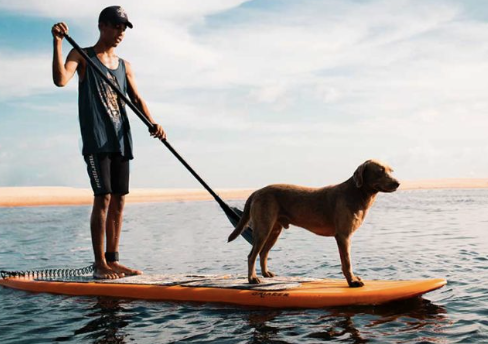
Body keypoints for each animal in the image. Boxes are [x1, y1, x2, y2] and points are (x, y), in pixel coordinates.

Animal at [229, 160, 400, 286]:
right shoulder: (343, 236)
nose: (398, 183)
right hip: (263, 228)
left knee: (263, 253)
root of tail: (256, 191)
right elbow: (347, 262)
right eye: (380, 171)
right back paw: (252, 278)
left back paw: (266, 274)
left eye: (391, 170)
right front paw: (352, 282)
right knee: (252, 255)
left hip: (274, 229)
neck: (357, 194)